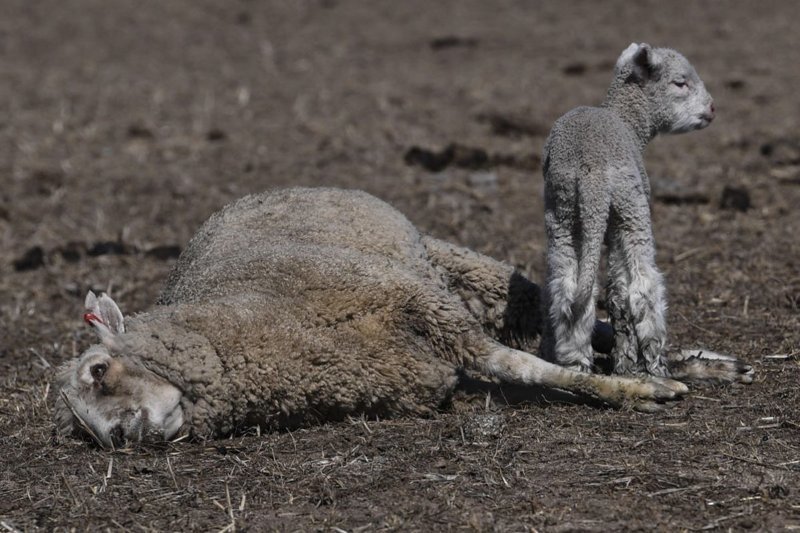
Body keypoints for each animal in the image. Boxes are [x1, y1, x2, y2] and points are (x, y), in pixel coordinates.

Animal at [53, 186, 752, 444]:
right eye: (88, 432)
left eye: (97, 370)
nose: (122, 438)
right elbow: (531, 366)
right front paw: (640, 384)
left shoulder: (431, 312)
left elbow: (533, 368)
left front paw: (637, 390)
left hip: (450, 266)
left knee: (552, 317)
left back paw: (690, 362)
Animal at [544, 45, 720, 376]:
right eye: (680, 83)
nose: (712, 109)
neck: (628, 121)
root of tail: (591, 173)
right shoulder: (620, 222)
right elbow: (622, 292)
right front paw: (630, 362)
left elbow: (613, 295)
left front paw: (623, 364)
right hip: (630, 209)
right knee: (644, 286)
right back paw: (657, 364)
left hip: (561, 214)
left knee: (567, 287)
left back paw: (575, 362)